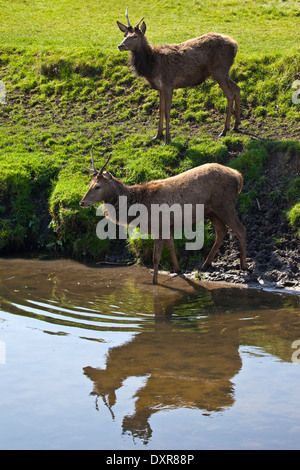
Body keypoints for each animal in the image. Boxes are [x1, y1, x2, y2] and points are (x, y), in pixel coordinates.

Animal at [79, 150, 246, 282]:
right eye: (89, 184)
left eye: (97, 186)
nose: (82, 202)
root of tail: (238, 176)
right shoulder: (166, 226)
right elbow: (171, 245)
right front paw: (178, 270)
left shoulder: (158, 226)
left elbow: (156, 257)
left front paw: (154, 282)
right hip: (211, 211)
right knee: (221, 231)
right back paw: (205, 264)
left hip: (224, 205)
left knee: (241, 229)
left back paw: (243, 266)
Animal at [117, 7, 241, 143]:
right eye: (124, 35)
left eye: (135, 36)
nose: (120, 45)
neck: (151, 66)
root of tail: (235, 45)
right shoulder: (160, 88)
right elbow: (160, 110)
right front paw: (157, 135)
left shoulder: (168, 84)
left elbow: (167, 111)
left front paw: (167, 140)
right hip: (224, 72)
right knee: (237, 88)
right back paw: (236, 125)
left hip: (219, 70)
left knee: (230, 93)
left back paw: (224, 130)